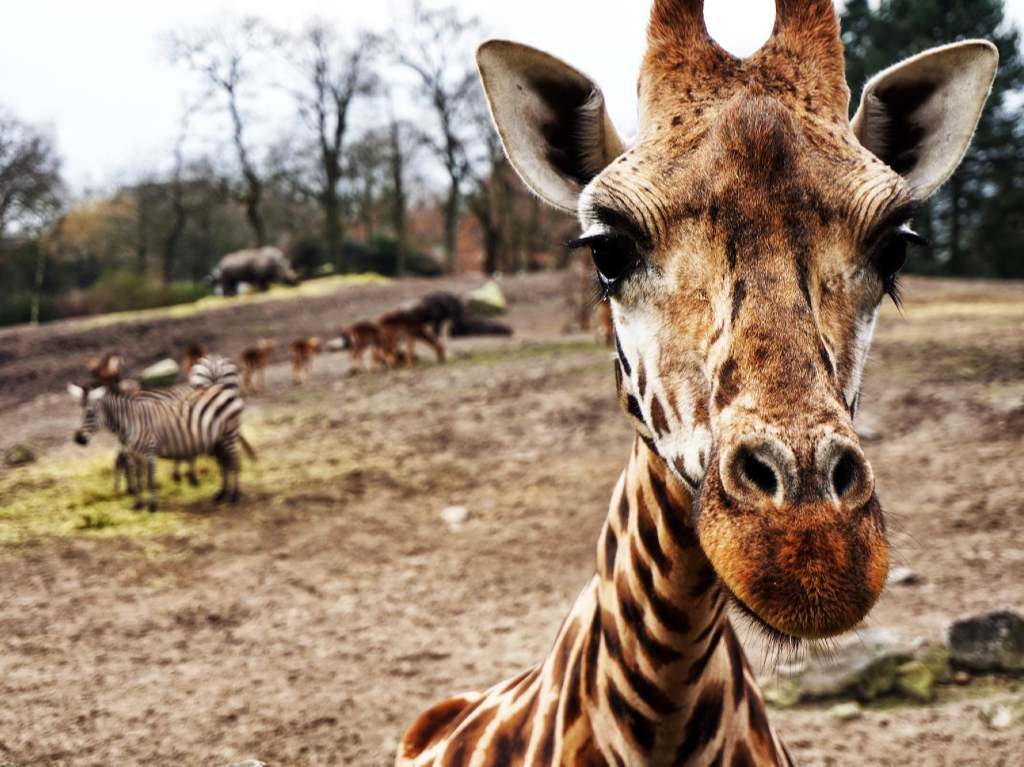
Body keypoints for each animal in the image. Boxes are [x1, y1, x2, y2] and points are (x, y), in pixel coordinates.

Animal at [69, 380, 250, 512]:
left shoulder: (149, 452)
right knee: (224, 463)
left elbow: (150, 481)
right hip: (218, 440)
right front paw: (138, 505)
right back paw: (221, 494)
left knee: (234, 462)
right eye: (81, 413)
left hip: (229, 433)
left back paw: (234, 496)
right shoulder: (135, 455)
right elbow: (138, 480)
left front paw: (152, 506)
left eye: (91, 413)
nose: (79, 439)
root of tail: (224, 388)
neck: (130, 422)